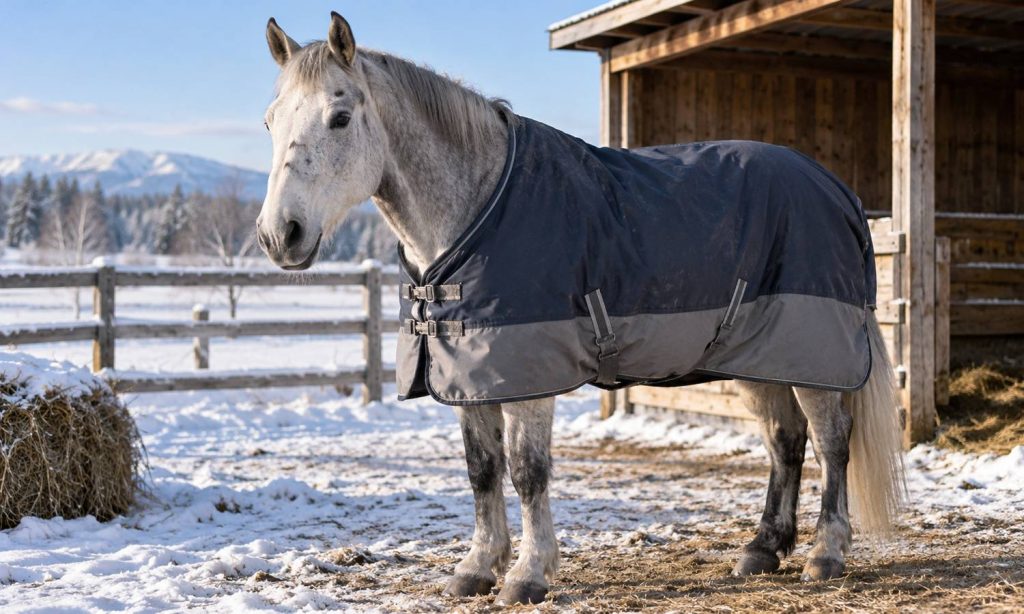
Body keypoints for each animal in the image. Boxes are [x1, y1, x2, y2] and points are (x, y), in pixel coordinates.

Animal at [255, 12, 905, 606]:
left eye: (340, 117)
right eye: (269, 121)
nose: (279, 235)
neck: (479, 208)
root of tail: (836, 190)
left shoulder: (526, 376)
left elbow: (526, 471)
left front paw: (528, 575)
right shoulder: (470, 374)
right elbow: (481, 470)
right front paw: (477, 568)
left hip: (812, 354)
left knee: (831, 442)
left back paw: (825, 554)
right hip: (758, 355)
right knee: (785, 441)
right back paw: (763, 549)